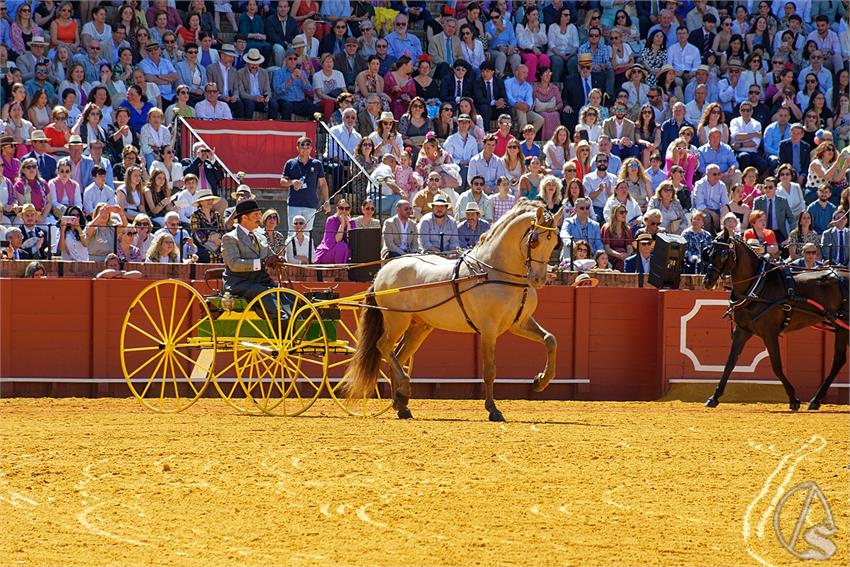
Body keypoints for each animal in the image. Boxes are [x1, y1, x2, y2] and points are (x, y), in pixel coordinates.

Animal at [338, 200, 564, 422]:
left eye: (555, 243)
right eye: (534, 241)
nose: (539, 279)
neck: (494, 271)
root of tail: (383, 271)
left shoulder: (519, 323)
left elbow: (550, 339)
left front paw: (540, 381)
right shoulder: (489, 330)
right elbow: (490, 370)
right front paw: (493, 409)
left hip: (419, 327)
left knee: (398, 356)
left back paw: (401, 405)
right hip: (396, 322)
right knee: (383, 346)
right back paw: (405, 390)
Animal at [700, 233, 844, 410]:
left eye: (724, 254)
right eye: (709, 252)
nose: (707, 281)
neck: (757, 287)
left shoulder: (770, 333)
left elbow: (776, 365)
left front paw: (793, 398)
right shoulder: (742, 330)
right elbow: (730, 362)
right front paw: (714, 397)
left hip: (842, 328)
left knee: (838, 360)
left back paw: (814, 400)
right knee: (839, 360)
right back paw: (815, 400)